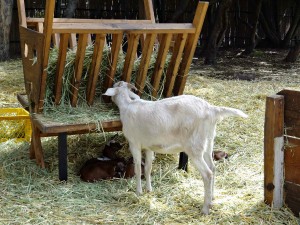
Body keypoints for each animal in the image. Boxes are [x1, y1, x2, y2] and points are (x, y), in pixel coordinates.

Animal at [103, 81, 248, 215]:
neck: (127, 106)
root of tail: (211, 109)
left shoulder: (134, 143)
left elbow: (138, 168)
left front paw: (138, 192)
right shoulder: (149, 146)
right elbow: (148, 168)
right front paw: (149, 189)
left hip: (194, 147)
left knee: (207, 174)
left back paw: (205, 208)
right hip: (208, 142)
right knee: (213, 167)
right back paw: (212, 198)